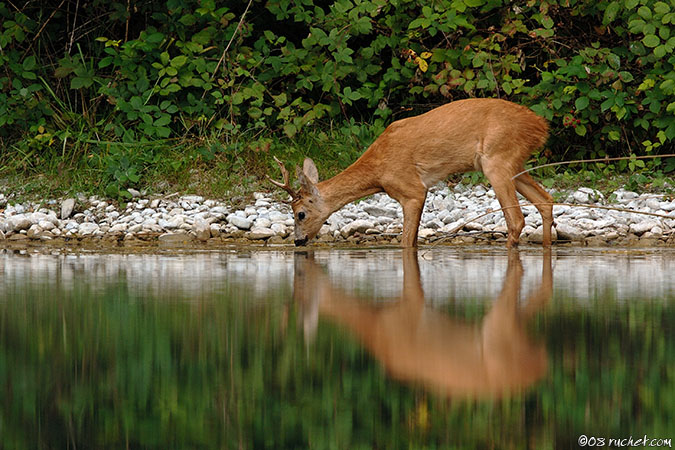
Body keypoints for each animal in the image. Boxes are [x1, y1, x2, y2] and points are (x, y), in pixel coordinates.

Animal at [268, 98, 554, 248]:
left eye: (300, 213)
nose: (298, 241)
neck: (377, 170)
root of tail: (541, 125)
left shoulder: (411, 189)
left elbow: (406, 241)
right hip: (514, 163)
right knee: (546, 201)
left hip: (496, 160)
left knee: (516, 219)